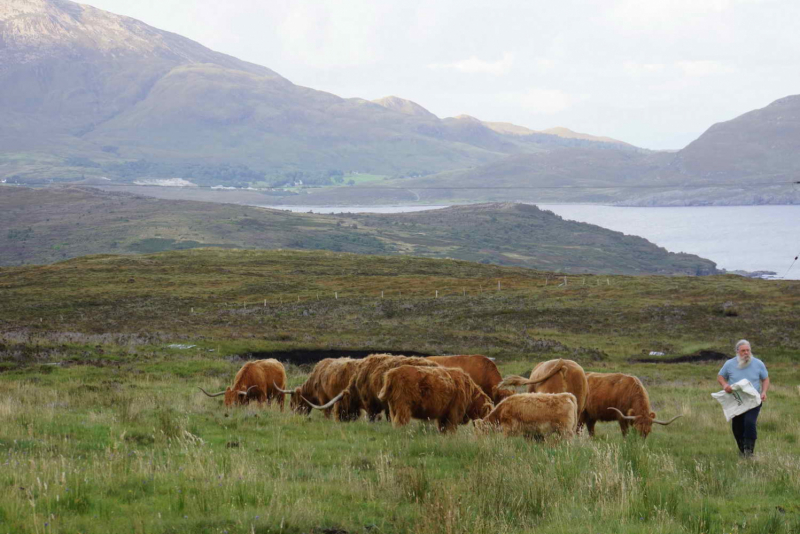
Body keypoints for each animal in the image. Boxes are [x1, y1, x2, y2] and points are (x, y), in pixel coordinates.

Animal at [302, 354, 440, 426]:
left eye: (340, 406)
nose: (339, 420)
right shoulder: (387, 405)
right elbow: (388, 416)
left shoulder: (370, 402)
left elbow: (372, 416)